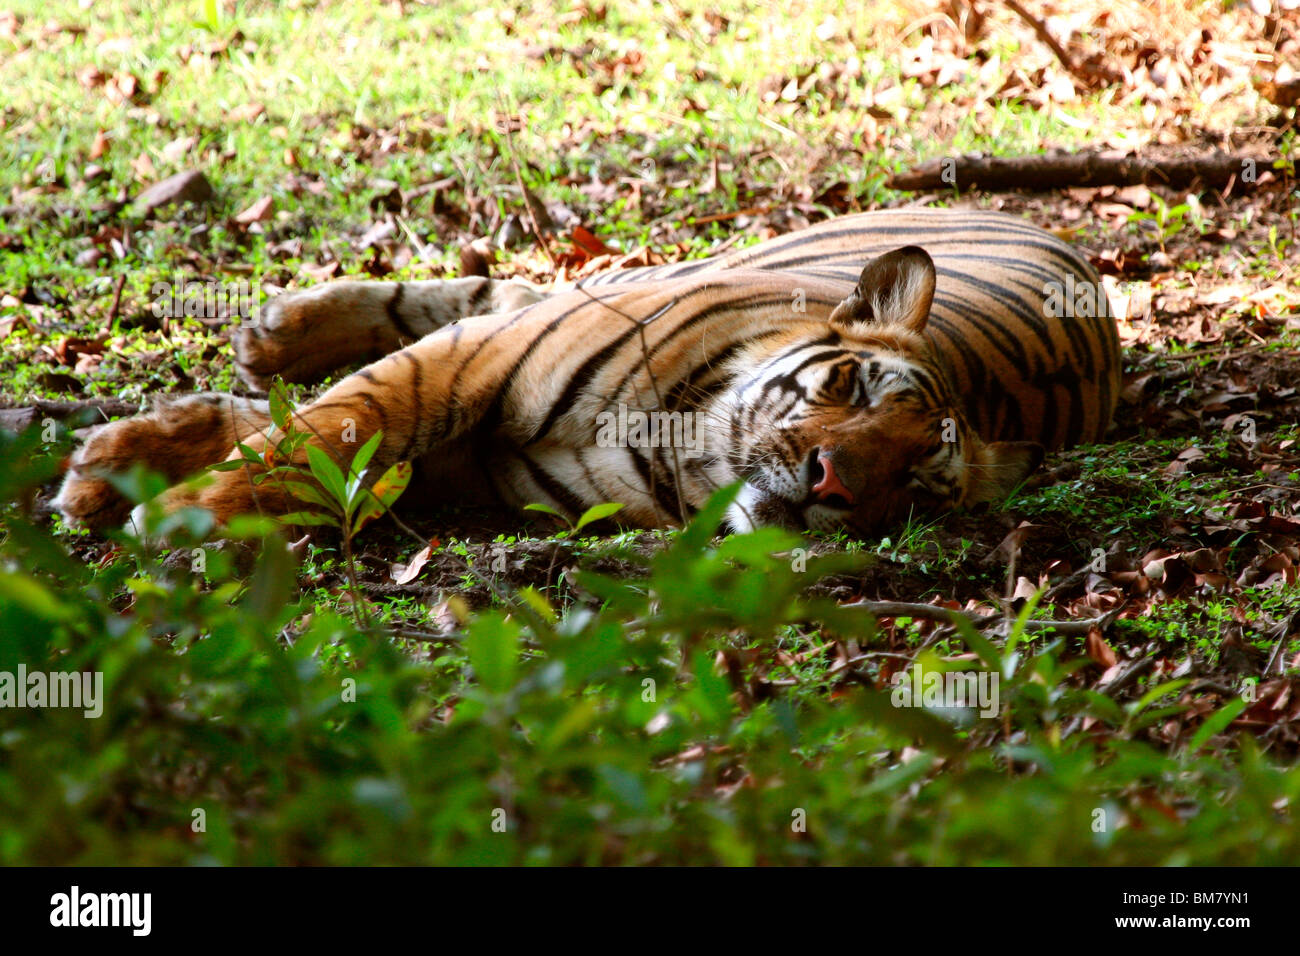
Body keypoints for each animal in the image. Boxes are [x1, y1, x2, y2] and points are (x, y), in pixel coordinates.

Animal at [55, 208, 1123, 538]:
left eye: (913, 484)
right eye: (850, 391)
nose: (831, 485)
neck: (683, 451)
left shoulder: (469, 457)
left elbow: (337, 458)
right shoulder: (469, 370)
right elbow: (336, 426)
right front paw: (191, 513)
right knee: (491, 290)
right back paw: (267, 338)